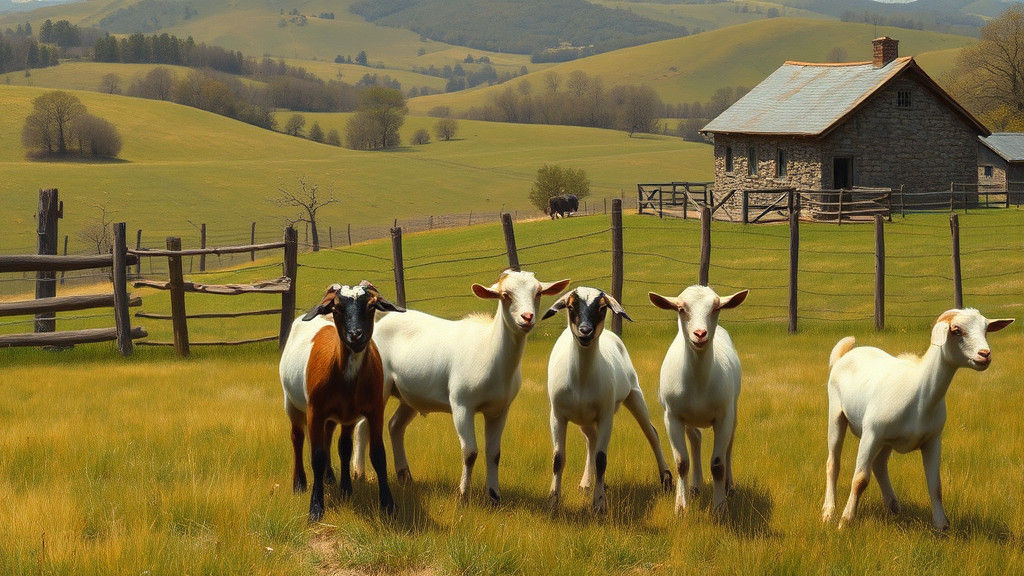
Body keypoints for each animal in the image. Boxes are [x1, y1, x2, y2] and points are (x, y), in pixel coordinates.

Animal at [279, 281, 405, 521]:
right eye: (337, 308)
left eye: (371, 306)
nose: (356, 335)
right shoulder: (315, 411)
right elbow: (317, 456)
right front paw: (316, 508)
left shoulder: (372, 410)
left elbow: (372, 454)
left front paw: (387, 504)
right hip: (292, 403)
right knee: (297, 438)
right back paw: (299, 483)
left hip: (341, 416)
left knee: (333, 440)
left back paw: (333, 479)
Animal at [353, 269, 570, 504]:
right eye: (505, 295)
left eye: (538, 293)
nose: (527, 317)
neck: (490, 351)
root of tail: (382, 322)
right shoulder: (461, 404)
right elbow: (470, 452)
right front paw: (463, 495)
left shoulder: (499, 410)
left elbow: (494, 453)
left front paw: (494, 496)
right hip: (379, 386)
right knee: (363, 426)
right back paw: (359, 474)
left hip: (410, 394)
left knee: (395, 426)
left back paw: (405, 476)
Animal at [543, 286, 672, 513]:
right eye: (570, 306)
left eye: (603, 307)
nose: (585, 331)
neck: (581, 379)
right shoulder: (557, 415)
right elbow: (558, 459)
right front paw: (553, 502)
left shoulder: (606, 415)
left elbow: (601, 459)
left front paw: (599, 505)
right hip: (585, 418)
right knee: (591, 440)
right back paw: (586, 484)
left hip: (633, 393)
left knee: (652, 433)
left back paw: (666, 479)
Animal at [649, 285, 748, 514]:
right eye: (681, 309)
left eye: (716, 308)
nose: (700, 334)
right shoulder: (672, 416)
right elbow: (681, 462)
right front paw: (680, 506)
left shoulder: (723, 416)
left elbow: (718, 464)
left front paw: (720, 507)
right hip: (689, 417)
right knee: (695, 439)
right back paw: (694, 486)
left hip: (733, 408)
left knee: (729, 445)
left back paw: (729, 486)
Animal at [822, 308, 1013, 531]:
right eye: (956, 330)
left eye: (986, 329)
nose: (985, 355)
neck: (920, 390)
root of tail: (846, 353)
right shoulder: (871, 434)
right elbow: (860, 479)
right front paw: (845, 521)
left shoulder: (932, 440)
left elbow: (935, 485)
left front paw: (941, 525)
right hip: (837, 414)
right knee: (833, 463)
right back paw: (829, 511)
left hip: (887, 440)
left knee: (879, 464)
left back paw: (894, 506)